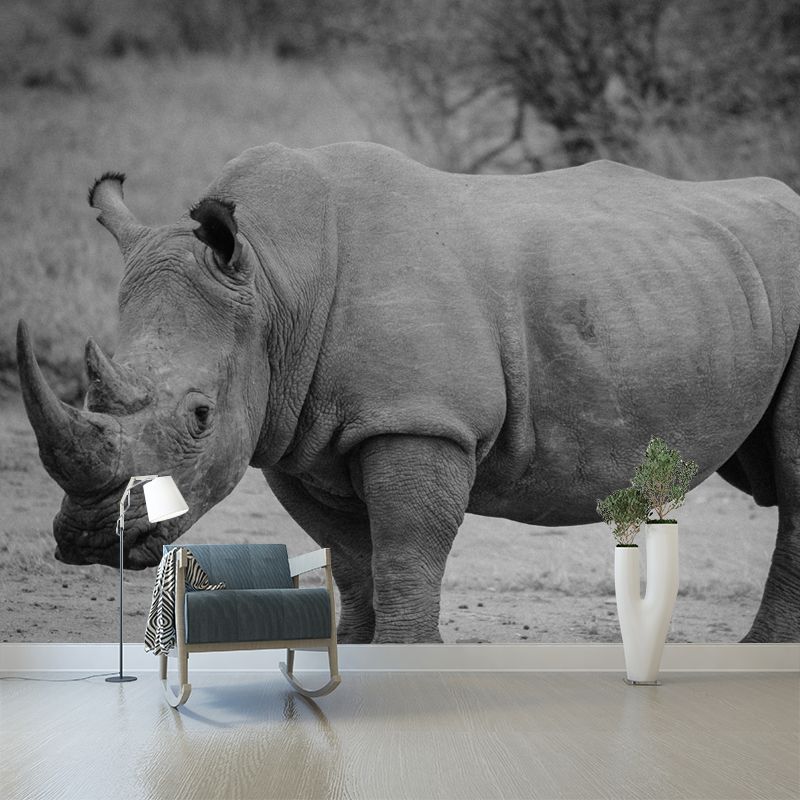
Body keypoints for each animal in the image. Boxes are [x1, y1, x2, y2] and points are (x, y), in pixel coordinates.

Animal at [17, 142, 800, 643]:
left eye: (200, 417)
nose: (91, 538)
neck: (273, 280)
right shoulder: (297, 436)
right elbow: (351, 558)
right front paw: (360, 657)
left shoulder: (420, 419)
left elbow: (404, 554)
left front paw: (407, 657)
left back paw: (760, 655)